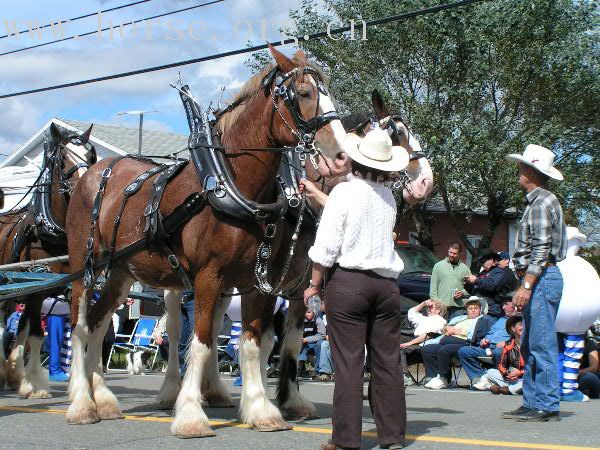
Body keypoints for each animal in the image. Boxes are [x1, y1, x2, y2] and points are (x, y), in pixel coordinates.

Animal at [0, 123, 95, 394]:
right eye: (63, 159)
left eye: (90, 155)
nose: (86, 185)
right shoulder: (36, 288)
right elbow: (33, 333)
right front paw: (33, 383)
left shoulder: (69, 285)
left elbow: (69, 330)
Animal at [64, 46, 346, 436]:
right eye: (304, 94)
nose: (340, 155)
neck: (231, 183)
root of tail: (91, 173)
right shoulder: (209, 276)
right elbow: (199, 342)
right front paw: (190, 415)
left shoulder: (261, 281)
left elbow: (253, 343)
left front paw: (262, 409)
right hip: (84, 267)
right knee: (80, 326)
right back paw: (81, 402)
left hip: (121, 272)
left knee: (99, 323)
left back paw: (103, 399)